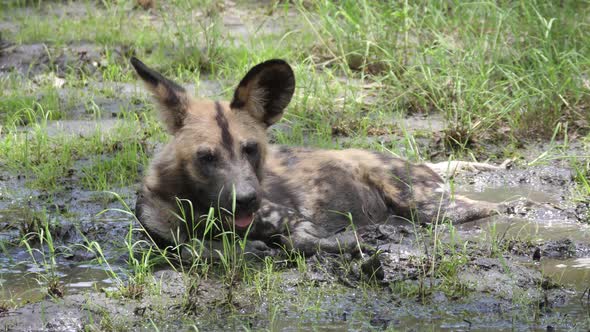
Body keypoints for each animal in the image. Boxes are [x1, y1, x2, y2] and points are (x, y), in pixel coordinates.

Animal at [132, 57, 512, 255]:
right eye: (206, 157)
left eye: (251, 149)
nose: (248, 199)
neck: (200, 212)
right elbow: (189, 248)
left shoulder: (294, 220)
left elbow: (297, 240)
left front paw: (353, 242)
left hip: (427, 206)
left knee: (486, 209)